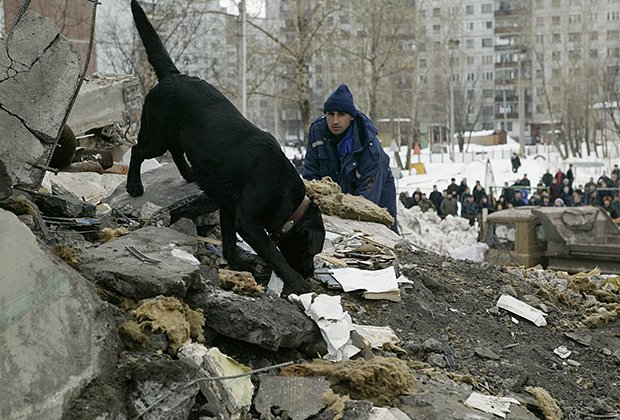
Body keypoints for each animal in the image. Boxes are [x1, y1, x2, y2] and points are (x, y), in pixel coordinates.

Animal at [128, 0, 326, 294]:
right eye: (310, 252)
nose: (311, 272)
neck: (284, 191)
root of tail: (174, 76)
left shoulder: (228, 206)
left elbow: (230, 239)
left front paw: (236, 262)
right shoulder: (249, 221)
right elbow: (273, 252)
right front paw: (295, 281)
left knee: (176, 150)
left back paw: (189, 174)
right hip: (156, 136)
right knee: (137, 150)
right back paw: (134, 185)